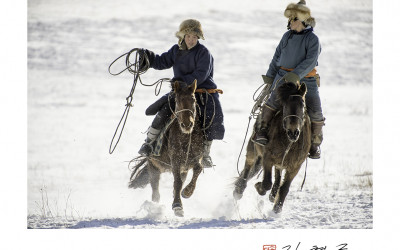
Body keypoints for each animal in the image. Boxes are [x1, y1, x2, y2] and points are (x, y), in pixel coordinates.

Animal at [128, 80, 205, 217]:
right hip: (154, 168)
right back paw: (154, 208)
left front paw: (187, 192)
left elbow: (198, 169)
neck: (186, 137)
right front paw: (178, 206)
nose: (187, 124)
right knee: (156, 193)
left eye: (194, 100)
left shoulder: (194, 159)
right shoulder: (175, 161)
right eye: (178, 101)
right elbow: (177, 182)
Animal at [233, 81, 310, 213]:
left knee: (277, 176)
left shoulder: (295, 166)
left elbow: (284, 188)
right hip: (253, 150)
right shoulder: (267, 158)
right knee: (248, 166)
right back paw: (239, 189)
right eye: (285, 106)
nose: (293, 132)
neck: (288, 142)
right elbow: (266, 183)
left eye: (303, 106)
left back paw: (273, 195)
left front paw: (277, 209)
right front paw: (259, 187)